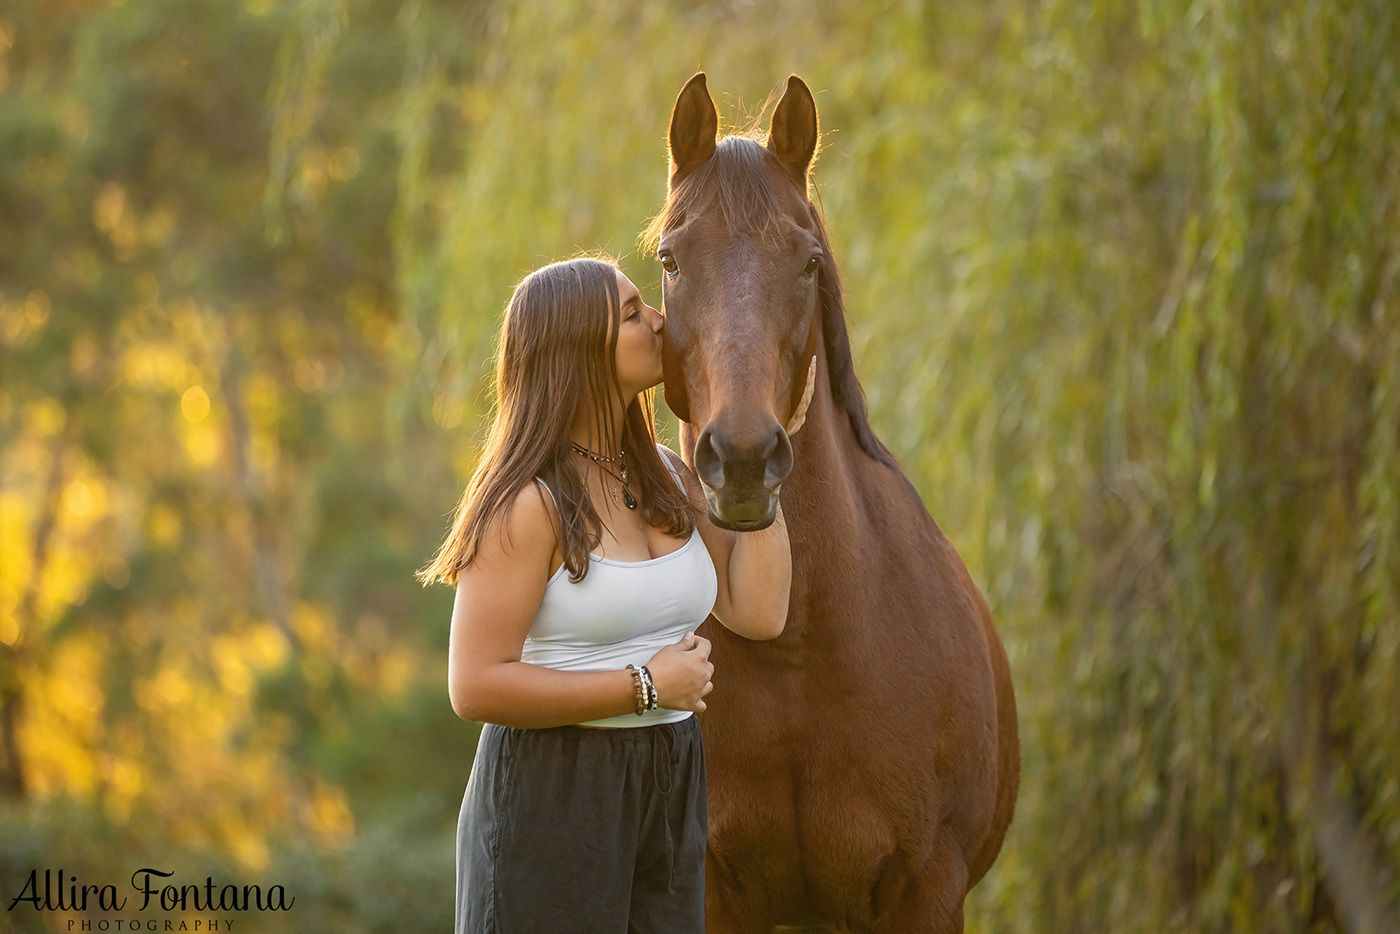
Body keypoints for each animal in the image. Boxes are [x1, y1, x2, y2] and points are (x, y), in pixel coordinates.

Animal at [644, 73, 1019, 934]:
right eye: (671, 258)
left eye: (808, 262)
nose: (743, 459)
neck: (800, 648)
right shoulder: (711, 890)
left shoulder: (928, 888)